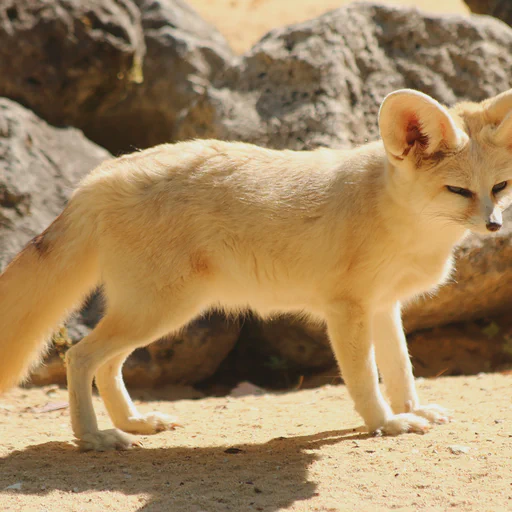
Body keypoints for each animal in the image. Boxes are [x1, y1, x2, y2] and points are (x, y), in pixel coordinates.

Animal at [1, 90, 512, 450]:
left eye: (499, 187)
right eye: (458, 191)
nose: (494, 225)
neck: (398, 218)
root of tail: (98, 177)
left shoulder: (385, 307)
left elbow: (402, 370)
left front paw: (414, 411)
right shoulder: (347, 310)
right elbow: (367, 380)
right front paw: (386, 423)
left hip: (156, 314)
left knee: (107, 364)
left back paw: (134, 422)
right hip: (159, 312)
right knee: (80, 357)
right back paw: (93, 437)